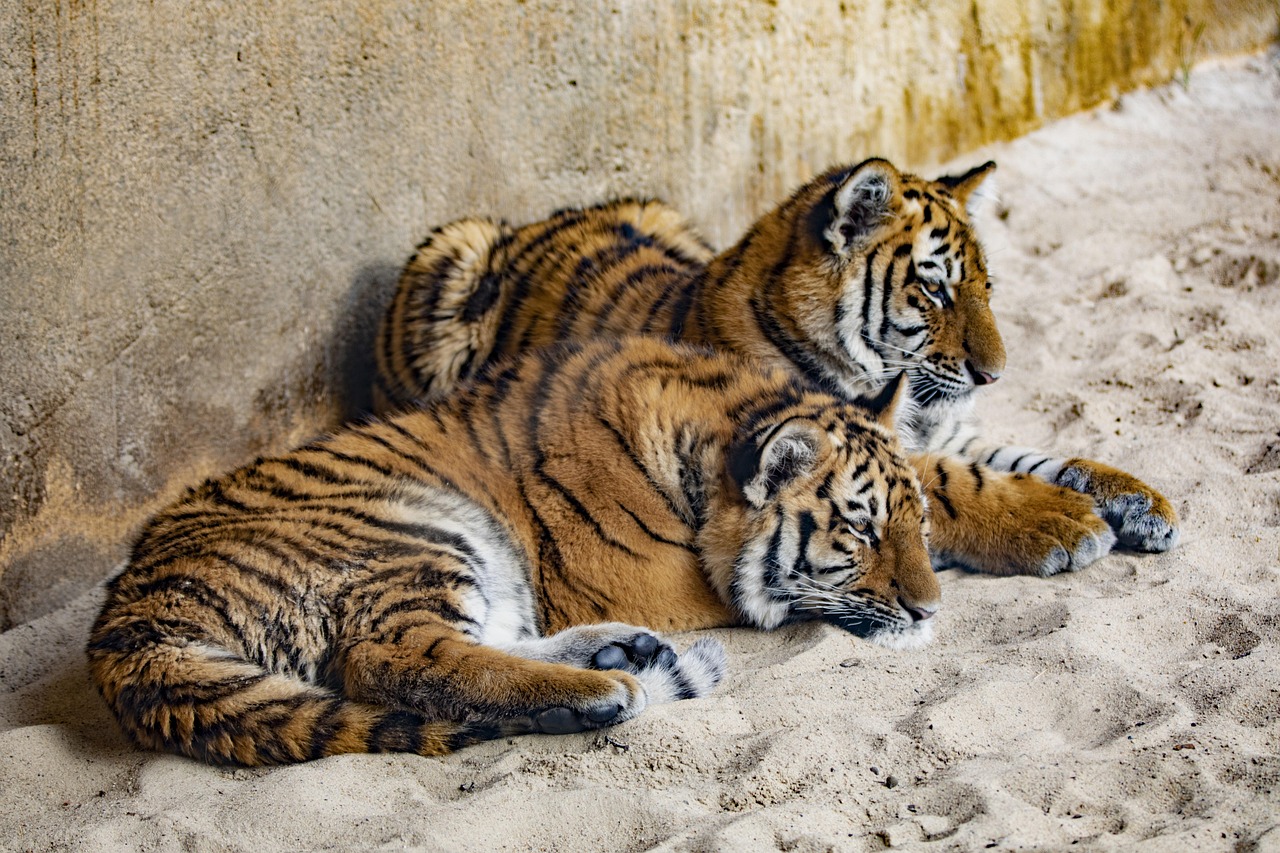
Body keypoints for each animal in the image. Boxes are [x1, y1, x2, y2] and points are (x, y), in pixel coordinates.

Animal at [88, 336, 938, 767]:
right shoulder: (656, 580)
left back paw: (621, 655)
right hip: (413, 532)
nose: (932, 611)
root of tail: (123, 628)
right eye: (860, 529)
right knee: (396, 656)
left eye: (917, 522)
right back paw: (605, 687)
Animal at [375, 158, 1179, 578]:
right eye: (935, 288)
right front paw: (1062, 524)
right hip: (449, 253)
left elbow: (1026, 457)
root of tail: (528, 224)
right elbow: (955, 484)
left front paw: (1140, 500)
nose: (995, 376)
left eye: (987, 287)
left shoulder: (935, 429)